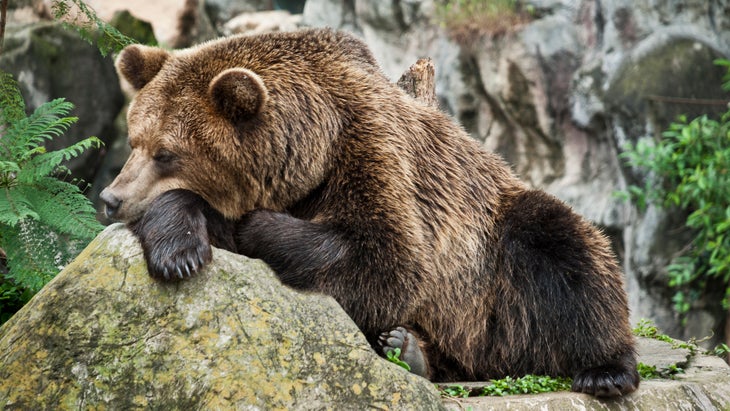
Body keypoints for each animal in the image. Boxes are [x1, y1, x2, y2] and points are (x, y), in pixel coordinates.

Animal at [101, 27, 636, 398]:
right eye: (134, 140)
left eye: (166, 153)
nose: (110, 198)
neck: (312, 148)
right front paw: (179, 250)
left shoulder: (374, 153)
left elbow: (385, 261)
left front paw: (251, 225)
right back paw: (409, 349)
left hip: (493, 264)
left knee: (566, 249)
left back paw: (606, 369)